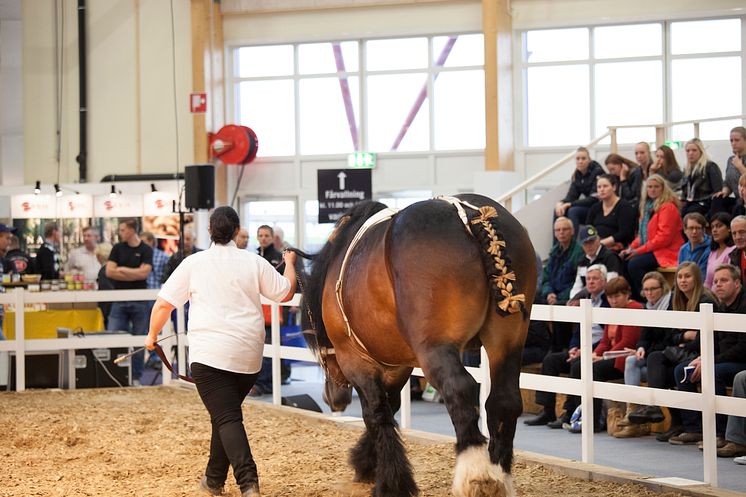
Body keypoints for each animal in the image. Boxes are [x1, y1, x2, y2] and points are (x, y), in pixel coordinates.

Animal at [294, 194, 532, 496]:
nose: (332, 397)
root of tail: (469, 214)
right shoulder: (398, 365)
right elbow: (390, 406)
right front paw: (367, 462)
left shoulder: (357, 360)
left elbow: (376, 413)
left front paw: (389, 482)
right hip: (507, 341)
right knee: (504, 401)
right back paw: (499, 475)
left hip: (435, 348)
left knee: (460, 389)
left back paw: (477, 476)